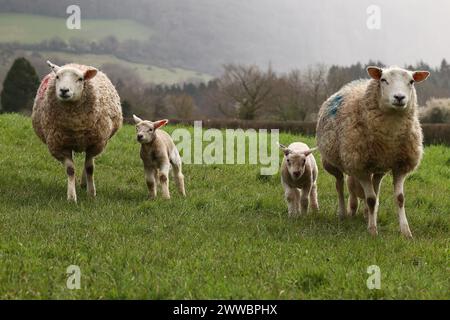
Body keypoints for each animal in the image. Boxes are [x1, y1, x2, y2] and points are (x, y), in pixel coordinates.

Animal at [31, 60, 123, 202]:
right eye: (57, 77)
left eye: (80, 79)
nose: (64, 90)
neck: (75, 124)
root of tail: (76, 63)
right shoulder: (60, 145)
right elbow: (70, 170)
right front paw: (71, 197)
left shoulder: (94, 143)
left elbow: (90, 168)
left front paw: (91, 193)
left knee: (88, 163)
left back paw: (84, 183)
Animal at [314, 66, 430, 239]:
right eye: (383, 80)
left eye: (411, 81)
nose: (399, 97)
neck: (390, 138)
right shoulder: (360, 168)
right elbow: (370, 199)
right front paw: (373, 231)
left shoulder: (400, 166)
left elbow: (399, 199)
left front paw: (406, 232)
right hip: (334, 163)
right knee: (340, 185)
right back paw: (343, 213)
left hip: (378, 168)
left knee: (374, 188)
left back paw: (366, 214)